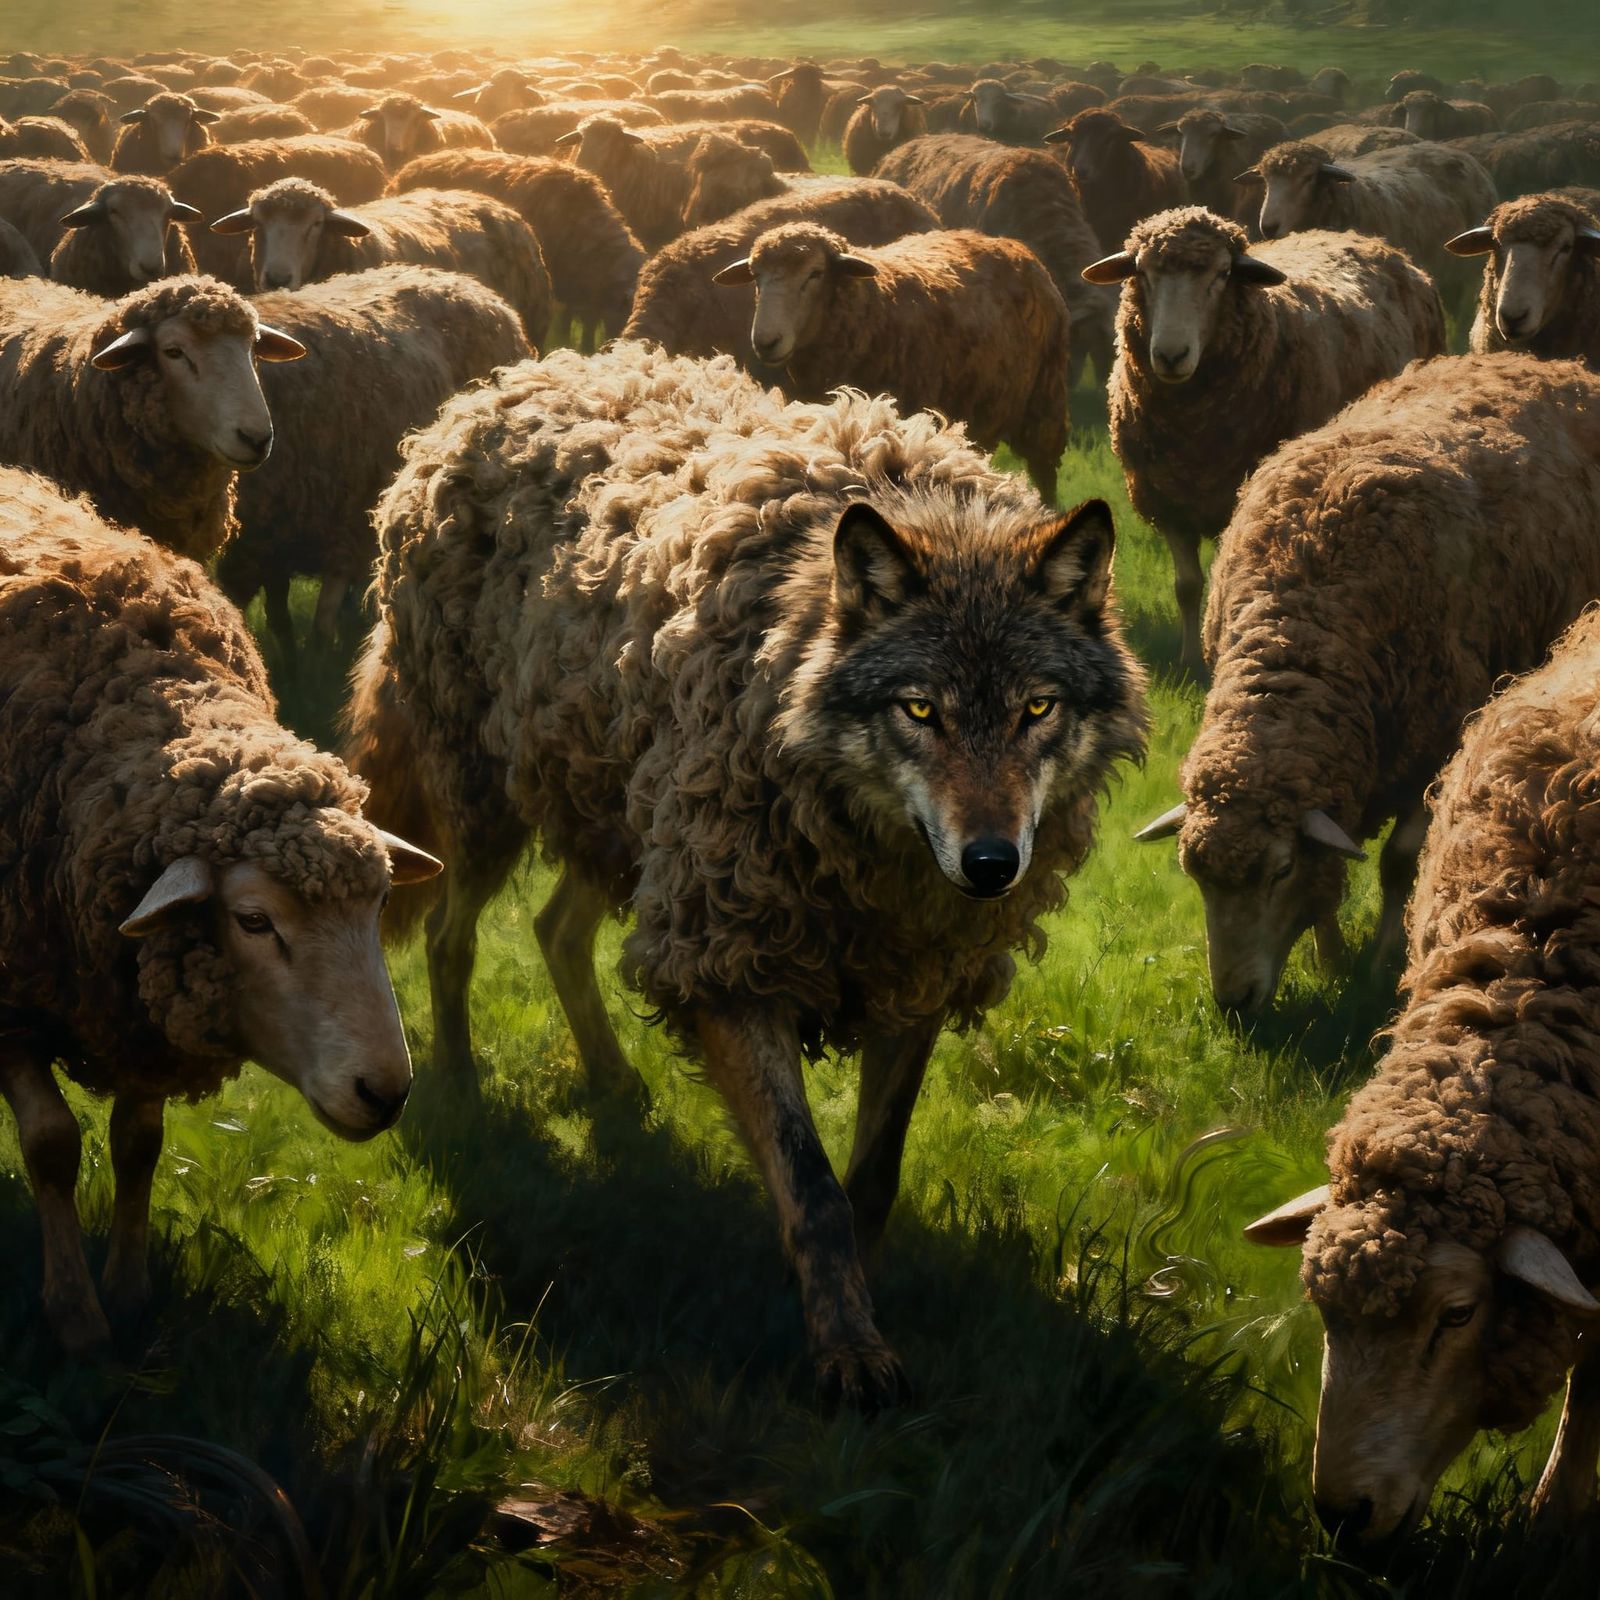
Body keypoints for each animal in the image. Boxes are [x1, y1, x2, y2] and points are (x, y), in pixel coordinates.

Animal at [0, 468, 439, 1349]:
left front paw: (130, 1289)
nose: (385, 1093)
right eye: (254, 921)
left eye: (379, 905)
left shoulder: (141, 1005)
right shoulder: (8, 997)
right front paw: (76, 1314)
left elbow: (139, 1143)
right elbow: (52, 1145)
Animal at [344, 339, 1147, 1405]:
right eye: (921, 711)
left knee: (555, 931)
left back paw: (612, 1082)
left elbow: (871, 1182)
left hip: (631, 826)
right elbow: (811, 1187)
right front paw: (845, 1352)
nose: (990, 865)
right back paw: (463, 1085)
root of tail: (501, 383)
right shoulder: (731, 965)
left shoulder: (916, 981)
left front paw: (852, 1303)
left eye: (1036, 710)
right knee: (449, 934)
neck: (877, 876)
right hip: (499, 808)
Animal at [715, 222, 1069, 495]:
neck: (875, 306)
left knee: (1045, 472)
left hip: (1044, 400)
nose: (766, 342)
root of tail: (1011, 243)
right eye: (755, 276)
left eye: (815, 274)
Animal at [1087, 208, 1445, 677]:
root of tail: (1363, 237)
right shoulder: (1168, 502)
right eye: (1142, 273)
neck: (1192, 435)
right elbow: (1187, 586)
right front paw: (1189, 661)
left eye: (1222, 274)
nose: (1170, 355)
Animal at [1136, 355, 1600, 1015]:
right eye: (1195, 876)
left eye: (1279, 872)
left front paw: (1378, 964)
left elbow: (1398, 864)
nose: (1234, 1003)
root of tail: (1544, 362)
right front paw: (1329, 958)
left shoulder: (1432, 744)